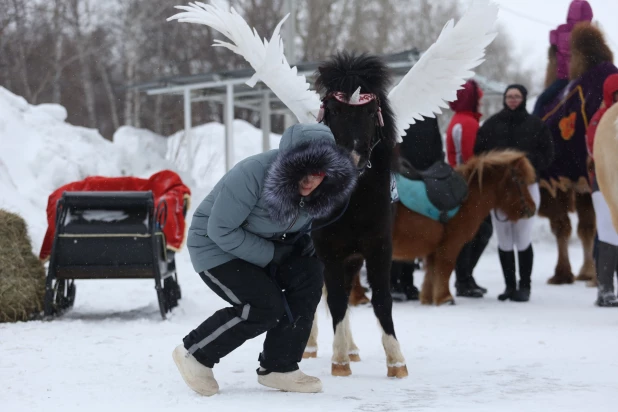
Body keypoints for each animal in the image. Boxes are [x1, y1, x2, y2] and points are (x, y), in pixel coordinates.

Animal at [306, 53, 406, 378]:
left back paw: (351, 348)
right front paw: (339, 362)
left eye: (371, 110)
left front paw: (396, 361)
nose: (353, 157)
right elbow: (336, 300)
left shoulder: (378, 248)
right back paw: (310, 346)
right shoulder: (329, 252)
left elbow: (382, 299)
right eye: (334, 109)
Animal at [394, 150, 536, 304]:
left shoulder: (434, 248)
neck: (467, 197)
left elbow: (431, 273)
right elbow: (445, 267)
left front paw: (428, 298)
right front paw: (445, 298)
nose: (532, 208)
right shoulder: (451, 243)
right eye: (521, 181)